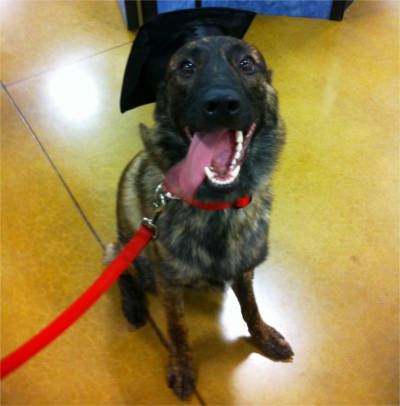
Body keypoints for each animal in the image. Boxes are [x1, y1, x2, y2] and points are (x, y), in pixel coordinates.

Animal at [105, 35, 294, 400]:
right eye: (186, 67)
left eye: (247, 64)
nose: (220, 103)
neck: (216, 207)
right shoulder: (168, 282)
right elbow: (177, 328)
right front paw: (182, 366)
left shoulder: (244, 268)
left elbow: (251, 306)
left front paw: (262, 335)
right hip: (127, 251)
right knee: (119, 270)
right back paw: (133, 305)